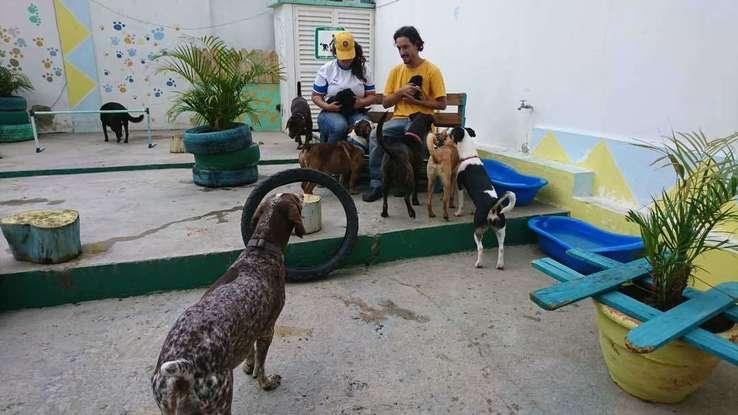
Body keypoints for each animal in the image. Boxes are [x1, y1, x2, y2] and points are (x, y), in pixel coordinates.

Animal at [151, 193, 304, 414]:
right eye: (294, 198)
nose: (301, 193)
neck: (261, 250)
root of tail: (182, 374)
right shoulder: (267, 330)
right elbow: (261, 365)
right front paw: (265, 382)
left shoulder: (250, 329)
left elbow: (250, 352)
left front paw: (248, 366)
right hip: (221, 399)